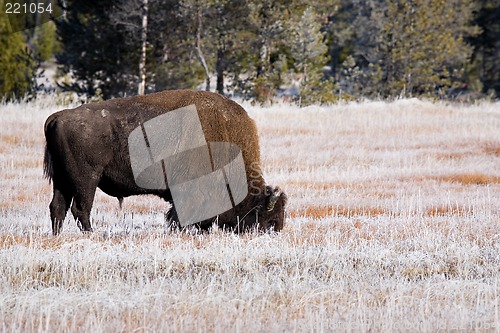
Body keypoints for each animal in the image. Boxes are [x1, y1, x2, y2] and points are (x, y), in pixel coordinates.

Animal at [45, 88, 288, 233]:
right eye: (268, 221)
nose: (275, 232)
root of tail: (58, 117)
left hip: (62, 180)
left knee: (58, 207)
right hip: (86, 180)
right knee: (80, 209)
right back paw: (91, 234)